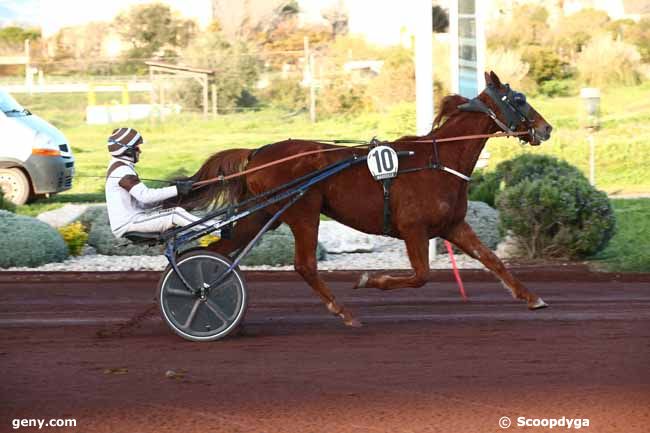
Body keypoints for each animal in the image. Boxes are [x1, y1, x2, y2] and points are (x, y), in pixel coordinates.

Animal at [180, 71, 548, 326]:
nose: (547, 129)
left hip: (261, 215)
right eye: (518, 99)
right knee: (304, 264)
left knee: (217, 251)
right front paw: (369, 278)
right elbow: (421, 276)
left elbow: (493, 260)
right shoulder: (413, 228)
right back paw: (344, 312)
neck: (438, 159)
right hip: (303, 210)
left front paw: (532, 298)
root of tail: (257, 153)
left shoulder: (453, 226)